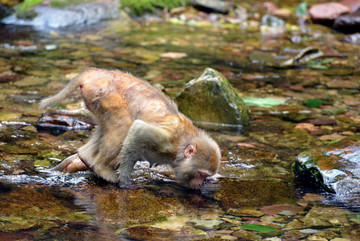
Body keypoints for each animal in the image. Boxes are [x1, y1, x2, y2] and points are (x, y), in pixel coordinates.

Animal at [39, 68, 219, 188]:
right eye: (201, 174)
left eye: (205, 176)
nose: (200, 184)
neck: (181, 147)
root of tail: (96, 73)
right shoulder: (167, 139)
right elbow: (138, 130)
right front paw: (125, 182)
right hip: (103, 94)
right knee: (124, 125)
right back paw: (101, 168)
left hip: (94, 99)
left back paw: (86, 156)